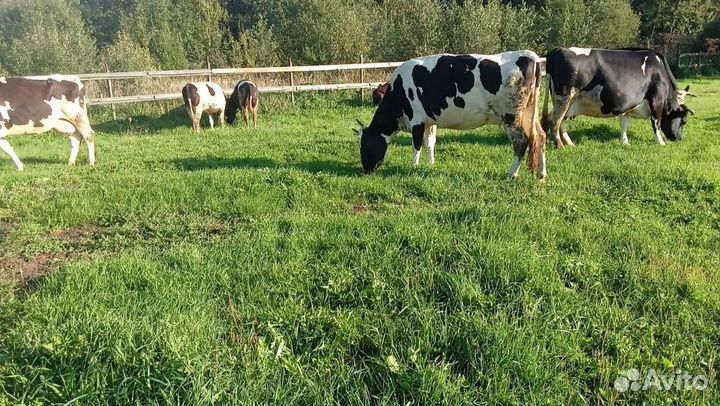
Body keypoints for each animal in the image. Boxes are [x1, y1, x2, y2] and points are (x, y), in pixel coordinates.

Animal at [356, 51, 547, 180]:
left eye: (365, 144)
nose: (365, 170)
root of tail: (528, 55)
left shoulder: (416, 120)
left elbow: (416, 146)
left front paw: (414, 167)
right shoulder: (429, 122)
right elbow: (430, 143)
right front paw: (431, 164)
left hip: (511, 115)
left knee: (521, 141)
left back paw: (512, 174)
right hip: (530, 113)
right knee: (540, 137)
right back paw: (542, 174)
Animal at [542, 47, 695, 148]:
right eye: (684, 121)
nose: (679, 139)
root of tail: (558, 50)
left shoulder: (627, 105)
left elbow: (624, 124)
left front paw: (625, 142)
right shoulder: (657, 100)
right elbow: (656, 122)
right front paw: (661, 142)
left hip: (568, 102)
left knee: (558, 121)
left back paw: (569, 143)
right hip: (564, 96)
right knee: (554, 121)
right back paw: (560, 146)